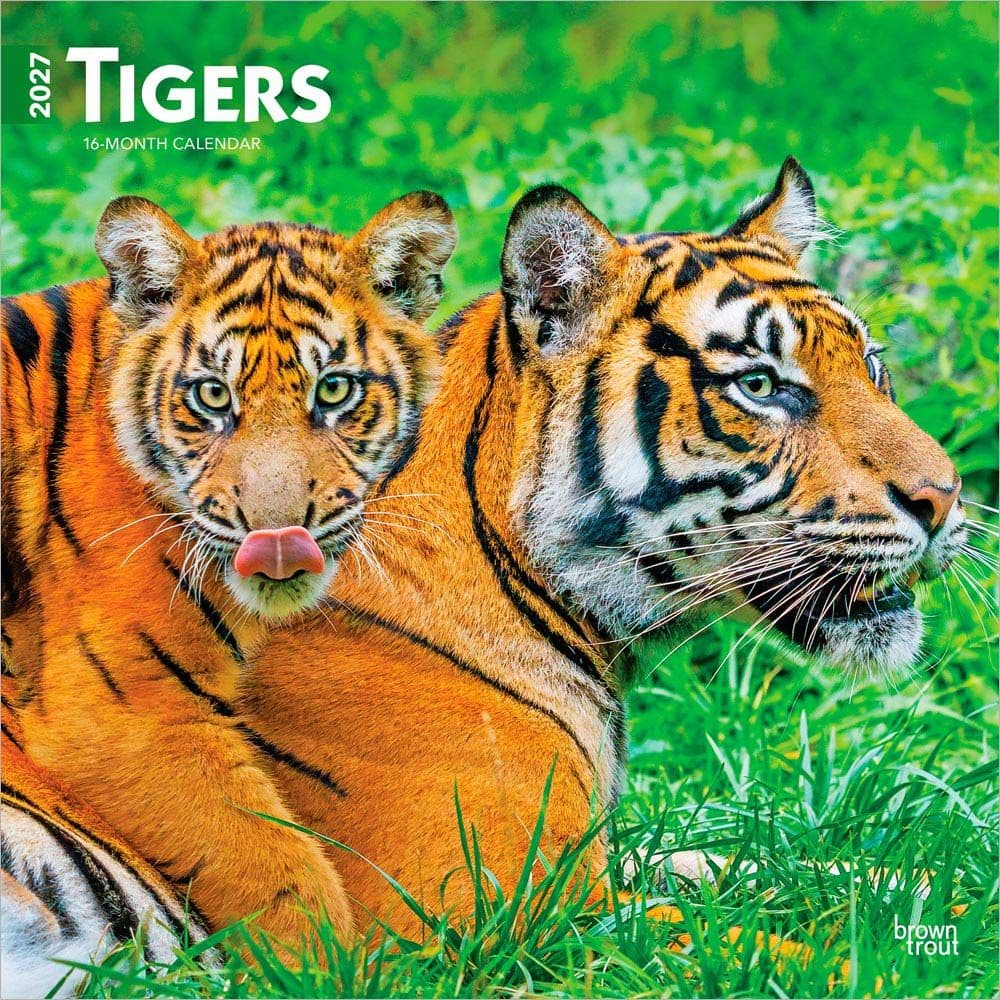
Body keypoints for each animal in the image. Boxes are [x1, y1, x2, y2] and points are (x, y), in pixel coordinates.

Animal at [0, 190, 457, 982]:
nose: (276, 535)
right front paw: (325, 978)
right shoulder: (124, 715)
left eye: (334, 389)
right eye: (212, 395)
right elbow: (277, 869)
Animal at [239, 158, 966, 937]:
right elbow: (776, 935)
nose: (945, 496)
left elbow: (770, 873)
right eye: (760, 385)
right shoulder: (492, 915)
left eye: (872, 365)